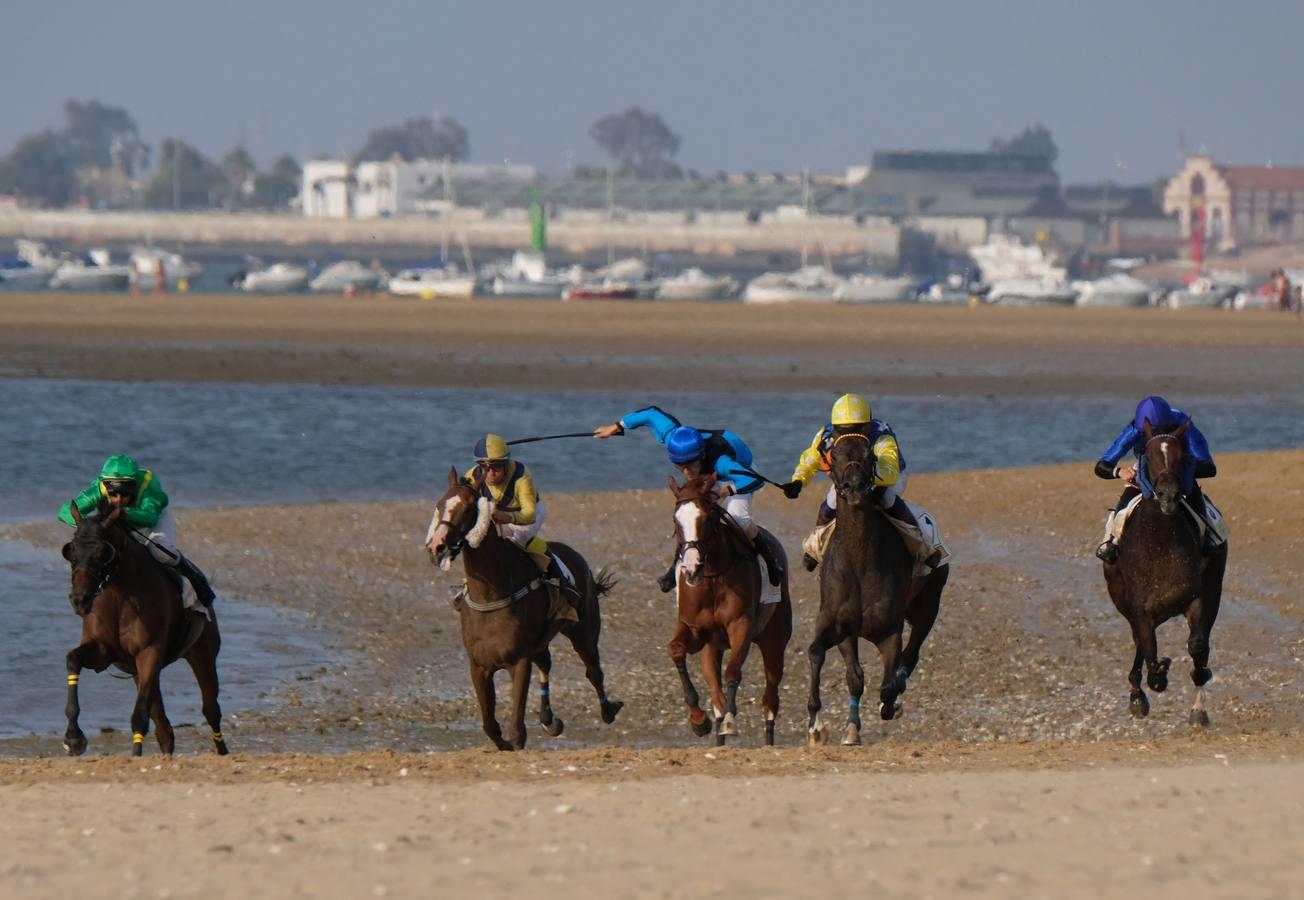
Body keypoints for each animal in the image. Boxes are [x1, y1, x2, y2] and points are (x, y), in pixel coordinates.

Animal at [58, 500, 228, 751]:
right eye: (71, 552)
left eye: (103, 553)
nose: (80, 599)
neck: (119, 598)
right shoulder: (104, 650)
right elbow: (73, 659)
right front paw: (73, 737)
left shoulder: (149, 652)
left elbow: (139, 716)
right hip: (139, 671)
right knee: (164, 728)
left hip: (202, 653)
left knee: (211, 710)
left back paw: (223, 752)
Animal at [425, 469, 623, 751]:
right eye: (440, 505)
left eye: (467, 508)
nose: (436, 546)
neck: (491, 594)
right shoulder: (479, 665)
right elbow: (490, 726)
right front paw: (505, 741)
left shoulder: (518, 660)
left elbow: (517, 730)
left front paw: (515, 740)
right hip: (540, 642)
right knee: (547, 663)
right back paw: (550, 720)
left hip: (584, 631)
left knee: (593, 671)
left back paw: (608, 709)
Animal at [667, 469, 787, 740]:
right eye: (676, 521)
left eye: (707, 519)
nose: (691, 568)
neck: (712, 578)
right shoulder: (694, 629)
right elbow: (676, 650)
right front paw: (698, 719)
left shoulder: (740, 625)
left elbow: (733, 671)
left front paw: (732, 721)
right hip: (712, 649)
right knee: (716, 696)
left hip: (774, 641)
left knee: (770, 699)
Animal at [803, 430, 949, 740]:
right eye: (834, 455)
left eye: (869, 455)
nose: (855, 487)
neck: (858, 562)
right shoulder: (840, 625)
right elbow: (842, 669)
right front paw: (827, 725)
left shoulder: (888, 631)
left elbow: (887, 684)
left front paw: (890, 704)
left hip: (929, 604)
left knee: (912, 654)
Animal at [1100, 420, 1220, 720]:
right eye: (1149, 454)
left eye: (1182, 456)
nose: (1168, 495)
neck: (1161, 544)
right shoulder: (1140, 607)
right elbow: (1149, 651)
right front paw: (1156, 677)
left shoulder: (1196, 596)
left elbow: (1197, 645)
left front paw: (1199, 682)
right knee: (1139, 641)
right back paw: (1137, 692)